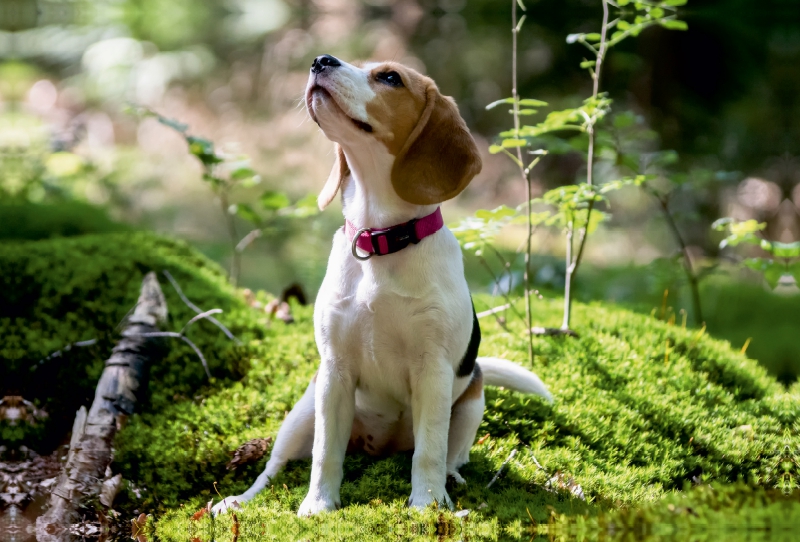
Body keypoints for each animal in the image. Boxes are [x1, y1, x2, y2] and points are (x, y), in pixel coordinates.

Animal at [212, 55, 552, 520]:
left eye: (390, 77)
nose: (321, 60)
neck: (380, 240)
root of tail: (379, 446)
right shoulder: (335, 369)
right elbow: (325, 453)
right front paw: (318, 505)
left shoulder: (433, 370)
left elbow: (428, 452)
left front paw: (427, 505)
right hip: (302, 412)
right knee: (274, 466)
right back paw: (239, 500)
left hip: (471, 402)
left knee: (449, 455)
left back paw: (451, 482)